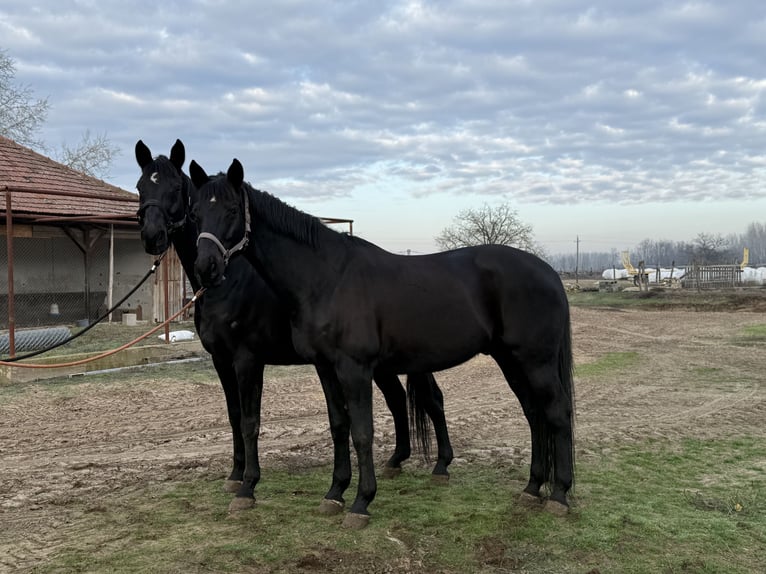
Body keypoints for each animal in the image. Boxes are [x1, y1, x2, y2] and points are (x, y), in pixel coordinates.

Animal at [134, 140, 454, 513]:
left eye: (174, 188)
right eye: (141, 187)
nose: (151, 237)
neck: (230, 282)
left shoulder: (247, 359)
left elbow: (250, 421)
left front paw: (249, 486)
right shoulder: (221, 361)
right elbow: (233, 415)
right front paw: (235, 475)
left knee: (432, 399)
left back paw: (441, 464)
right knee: (398, 398)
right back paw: (396, 461)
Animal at [190, 158, 575, 529]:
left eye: (232, 210)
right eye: (195, 213)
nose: (206, 267)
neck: (327, 277)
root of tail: (550, 273)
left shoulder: (353, 369)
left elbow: (363, 432)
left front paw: (361, 503)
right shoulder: (325, 367)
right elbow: (339, 426)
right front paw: (334, 494)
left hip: (535, 361)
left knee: (556, 412)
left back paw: (558, 495)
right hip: (509, 360)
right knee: (533, 413)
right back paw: (531, 489)